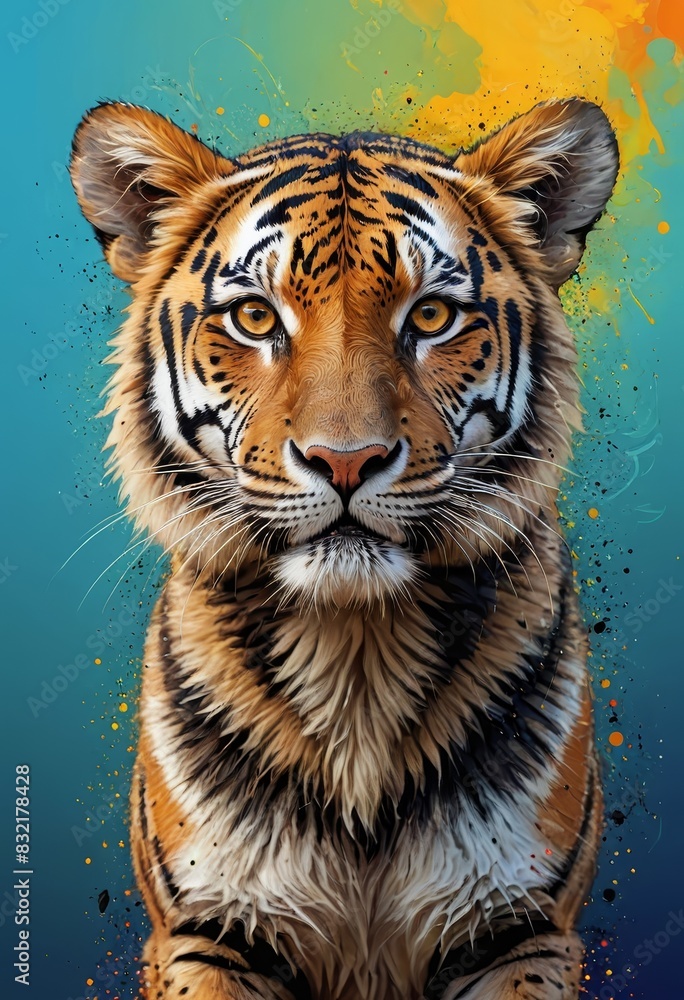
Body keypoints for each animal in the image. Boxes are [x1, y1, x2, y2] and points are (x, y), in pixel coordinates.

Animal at [70, 96, 618, 1000]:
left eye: (430, 316)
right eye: (256, 317)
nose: (347, 459)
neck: (357, 652)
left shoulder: (521, 929)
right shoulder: (205, 930)